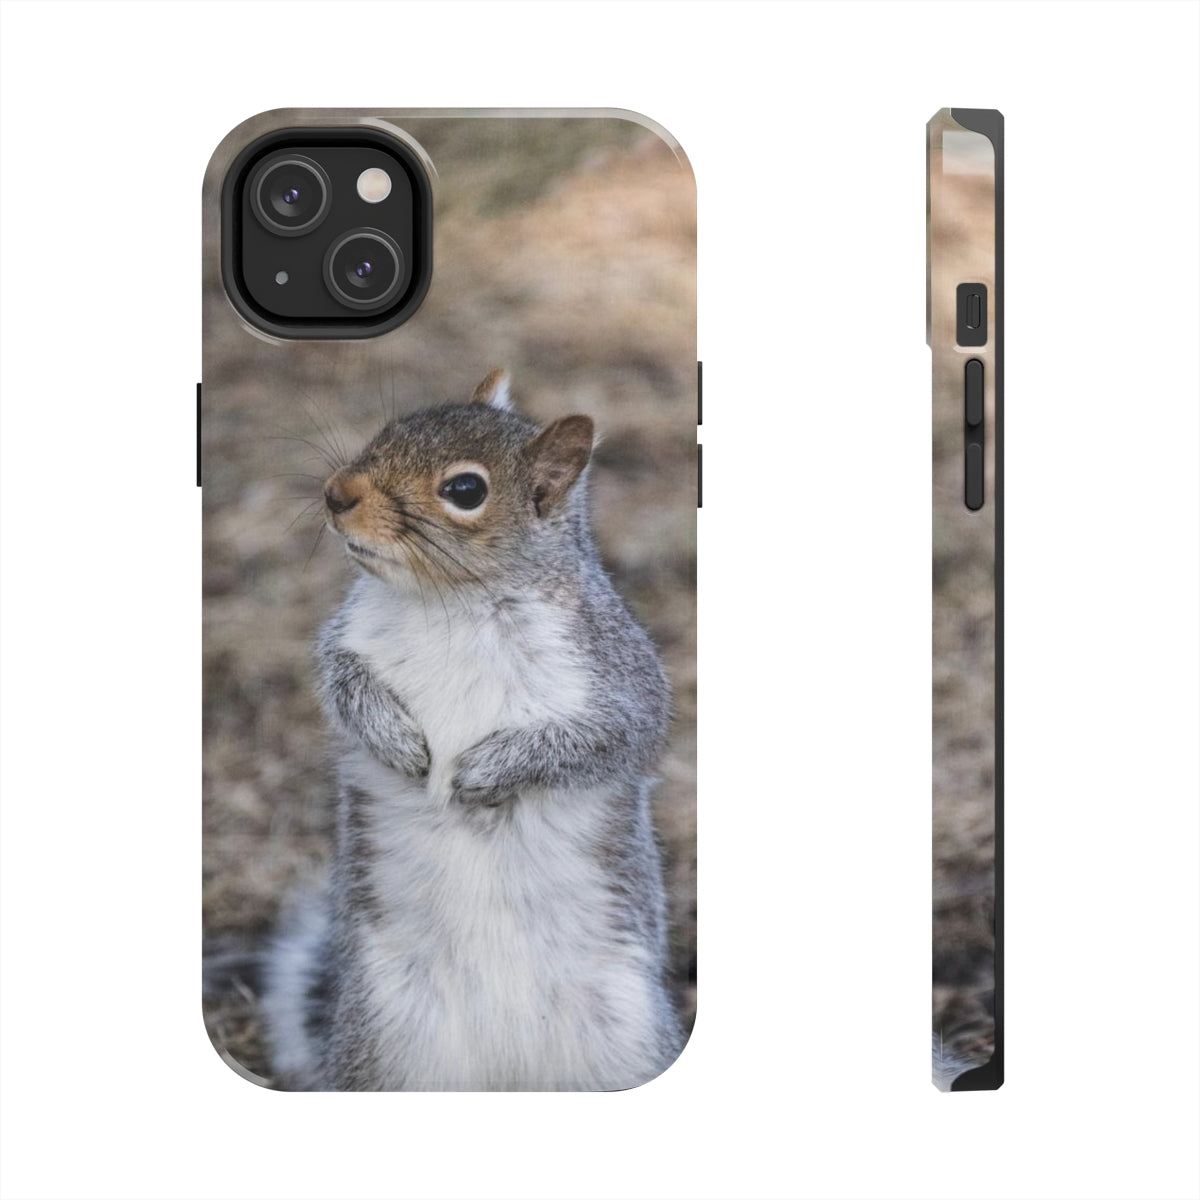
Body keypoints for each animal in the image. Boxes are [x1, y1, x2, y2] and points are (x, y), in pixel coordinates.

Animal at [262, 369, 683, 1091]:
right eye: (388, 430)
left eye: (466, 491)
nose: (336, 494)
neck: (451, 602)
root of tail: (505, 1070)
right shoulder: (346, 640)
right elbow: (343, 685)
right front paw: (398, 741)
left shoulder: (617, 678)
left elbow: (604, 740)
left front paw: (485, 772)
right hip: (389, 1040)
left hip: (622, 1039)